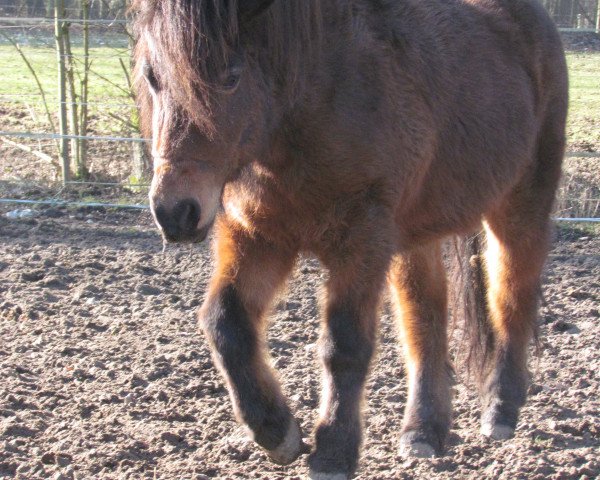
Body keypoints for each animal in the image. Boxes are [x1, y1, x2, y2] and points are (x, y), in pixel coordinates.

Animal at [131, 1, 568, 478]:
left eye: (230, 76)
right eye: (152, 77)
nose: (175, 212)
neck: (315, 100)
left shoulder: (361, 239)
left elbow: (344, 346)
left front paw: (333, 451)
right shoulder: (259, 236)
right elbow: (224, 322)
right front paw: (277, 431)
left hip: (520, 205)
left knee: (511, 297)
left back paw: (500, 410)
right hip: (415, 235)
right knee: (425, 316)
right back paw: (423, 430)